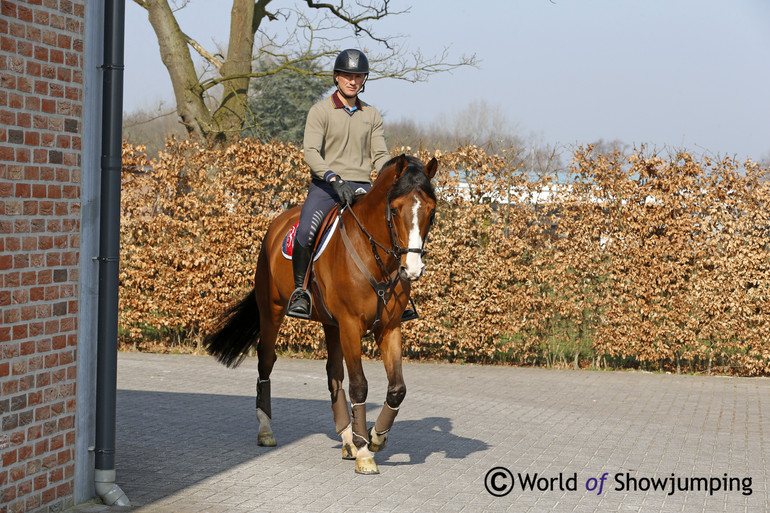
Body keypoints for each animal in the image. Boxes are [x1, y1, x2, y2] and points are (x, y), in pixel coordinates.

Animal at [201, 154, 436, 474]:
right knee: (266, 360)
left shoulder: (389, 327)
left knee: (333, 374)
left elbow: (397, 388)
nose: (411, 269)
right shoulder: (350, 325)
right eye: (395, 209)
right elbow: (359, 386)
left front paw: (375, 437)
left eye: (431, 212)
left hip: (331, 324)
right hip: (272, 311)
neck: (375, 256)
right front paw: (365, 452)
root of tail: (279, 223)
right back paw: (266, 430)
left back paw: (348, 439)